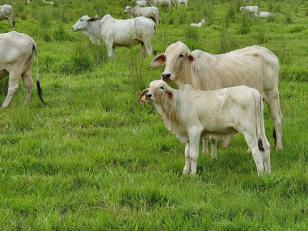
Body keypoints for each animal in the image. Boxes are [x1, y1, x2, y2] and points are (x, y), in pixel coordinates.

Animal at [138, 80, 270, 175]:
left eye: (162, 87)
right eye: (150, 86)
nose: (148, 95)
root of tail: (253, 92)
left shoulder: (194, 130)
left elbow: (193, 154)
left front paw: (193, 175)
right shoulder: (187, 134)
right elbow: (186, 153)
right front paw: (185, 172)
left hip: (249, 131)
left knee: (255, 150)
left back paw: (260, 174)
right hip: (260, 129)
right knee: (265, 146)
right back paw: (268, 173)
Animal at [152, 40, 284, 152]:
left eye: (181, 55)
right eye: (166, 56)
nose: (166, 75)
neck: (194, 74)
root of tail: (269, 53)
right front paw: (205, 152)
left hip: (272, 94)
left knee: (277, 119)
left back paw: (279, 147)